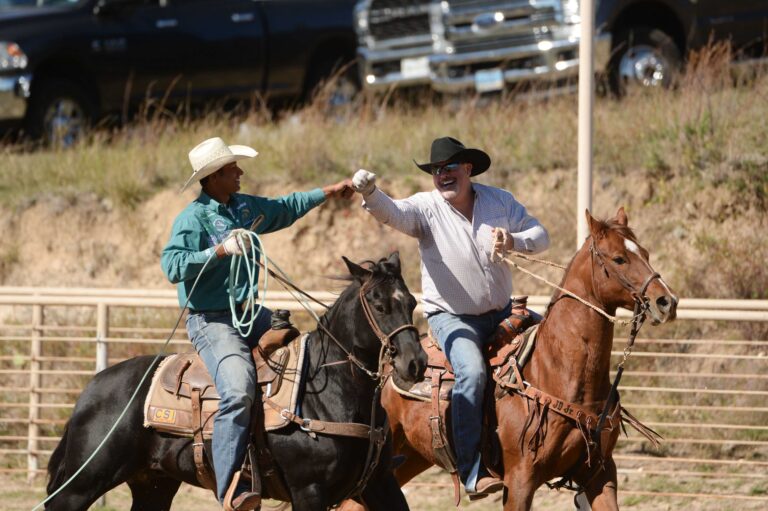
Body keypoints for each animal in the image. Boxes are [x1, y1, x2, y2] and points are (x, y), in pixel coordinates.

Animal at [45, 254, 428, 510]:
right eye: (378, 305)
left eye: (410, 302)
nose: (416, 363)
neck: (326, 391)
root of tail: (92, 388)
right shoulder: (309, 490)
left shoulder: (381, 484)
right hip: (84, 480)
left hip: (153, 484)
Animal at [342, 208, 680, 511]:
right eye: (619, 258)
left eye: (645, 253)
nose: (667, 301)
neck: (558, 372)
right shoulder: (520, 481)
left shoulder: (600, 473)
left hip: (404, 462)